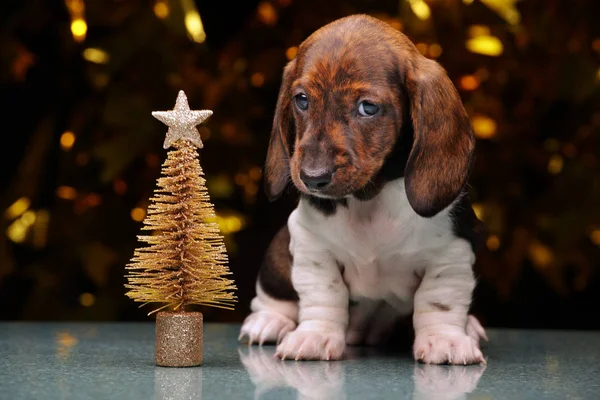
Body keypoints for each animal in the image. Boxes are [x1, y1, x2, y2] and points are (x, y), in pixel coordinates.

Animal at [239, 14, 488, 364]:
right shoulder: (312, 245)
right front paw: (314, 336)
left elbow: (439, 299)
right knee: (273, 298)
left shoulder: (451, 252)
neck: (370, 200)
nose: (312, 178)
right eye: (302, 100)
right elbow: (323, 293)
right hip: (278, 252)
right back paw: (269, 321)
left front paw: (446, 340)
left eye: (368, 108)